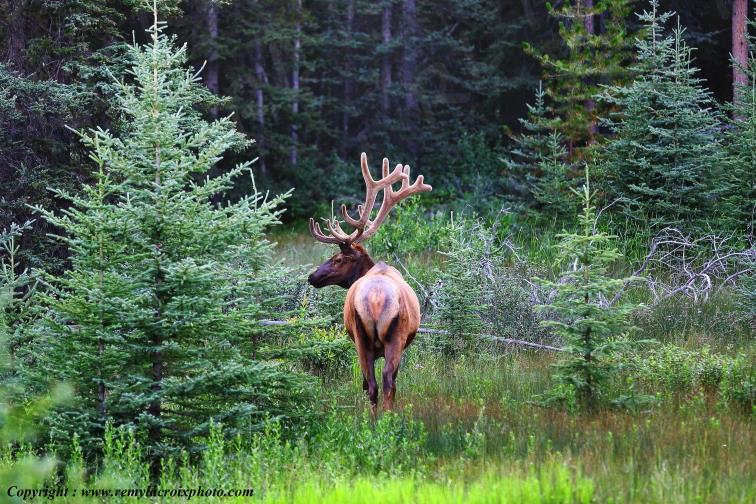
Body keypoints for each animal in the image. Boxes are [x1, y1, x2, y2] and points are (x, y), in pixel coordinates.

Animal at [307, 152, 432, 414]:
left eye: (337, 259)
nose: (311, 277)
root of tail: (375, 299)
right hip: (391, 338)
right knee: (384, 382)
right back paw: (385, 420)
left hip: (363, 337)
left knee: (374, 384)